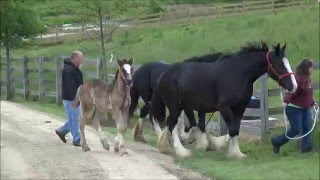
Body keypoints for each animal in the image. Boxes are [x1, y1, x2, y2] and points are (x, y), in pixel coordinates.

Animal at [150, 41, 298, 158]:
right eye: (280, 64)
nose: (294, 86)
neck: (238, 73)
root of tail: (164, 74)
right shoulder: (224, 107)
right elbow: (231, 130)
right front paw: (215, 144)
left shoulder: (240, 108)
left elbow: (236, 129)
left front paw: (237, 153)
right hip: (174, 106)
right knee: (172, 125)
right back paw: (179, 151)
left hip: (182, 106)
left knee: (173, 125)